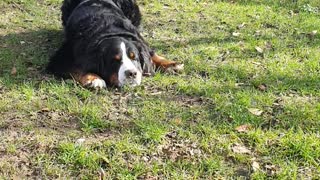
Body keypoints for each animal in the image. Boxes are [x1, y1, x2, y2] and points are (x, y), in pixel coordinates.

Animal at [46, 0, 184, 88]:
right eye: (115, 60)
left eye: (134, 58)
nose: (132, 73)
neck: (109, 31)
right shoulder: (61, 58)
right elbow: (76, 69)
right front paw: (94, 79)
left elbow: (150, 52)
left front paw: (171, 64)